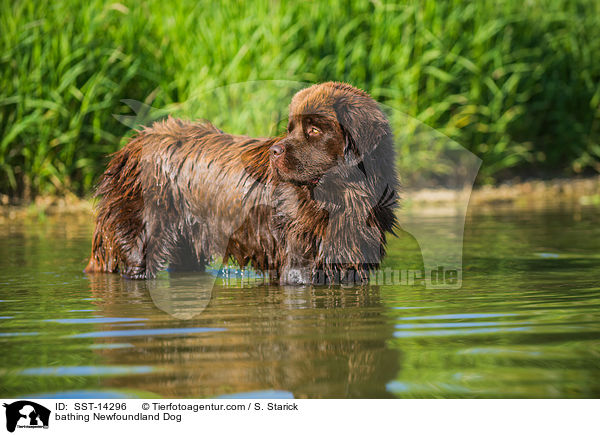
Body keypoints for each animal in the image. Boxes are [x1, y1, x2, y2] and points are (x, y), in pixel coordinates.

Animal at [85, 82, 398, 286]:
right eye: (290, 129)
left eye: (314, 130)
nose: (275, 151)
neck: (341, 197)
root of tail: (132, 145)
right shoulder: (299, 260)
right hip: (143, 229)